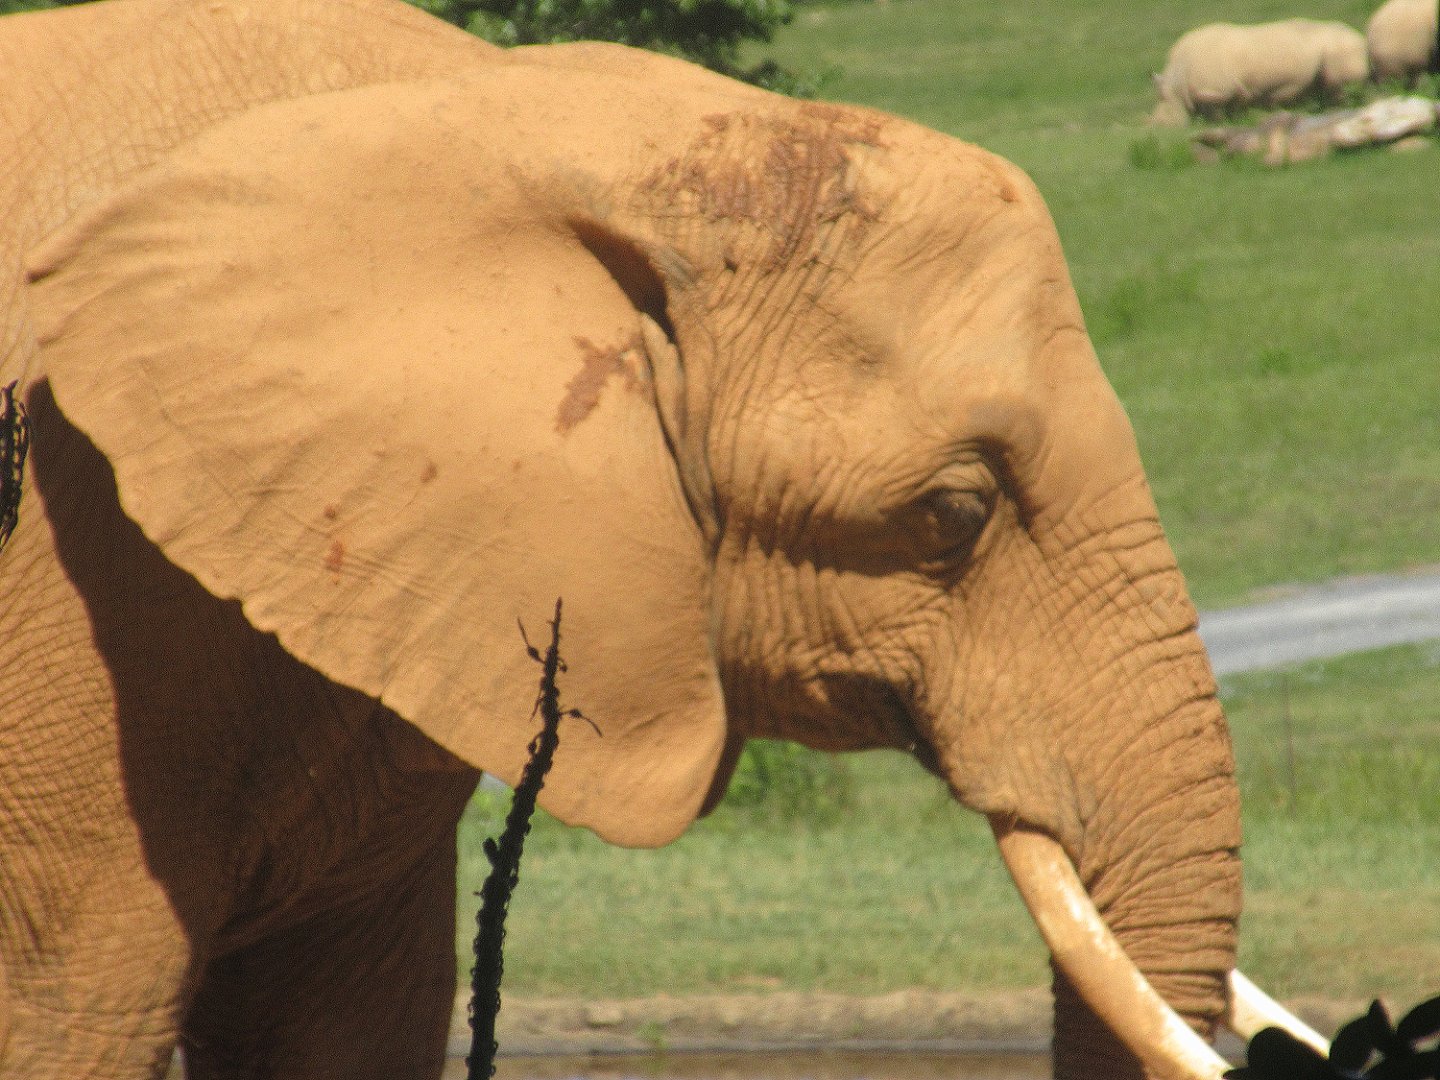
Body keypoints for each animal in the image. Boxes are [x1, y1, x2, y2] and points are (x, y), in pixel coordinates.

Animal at [1150, 19, 1370, 125]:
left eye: (1166, 114)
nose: (1158, 127)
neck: (1177, 80)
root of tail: (1361, 39)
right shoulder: (1233, 89)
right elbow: (1234, 110)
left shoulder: (1215, 91)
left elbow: (1216, 113)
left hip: (1342, 48)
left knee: (1338, 86)